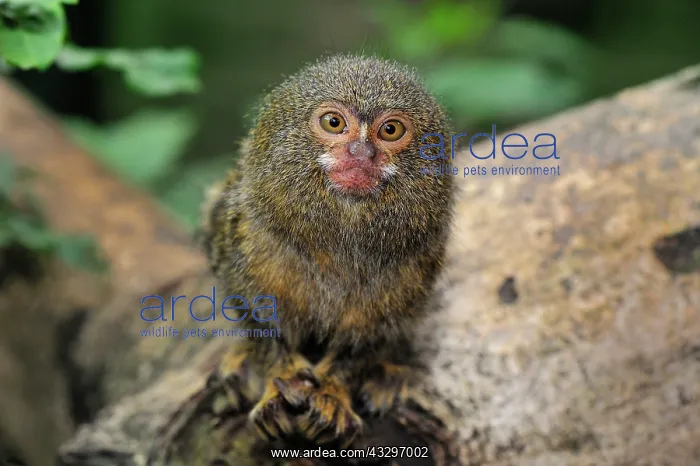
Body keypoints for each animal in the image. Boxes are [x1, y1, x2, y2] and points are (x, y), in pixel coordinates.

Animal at [198, 54, 454, 448]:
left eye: (390, 130)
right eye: (334, 123)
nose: (361, 153)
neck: (338, 238)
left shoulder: (417, 261)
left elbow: (363, 345)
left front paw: (332, 395)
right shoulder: (244, 238)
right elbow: (259, 322)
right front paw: (279, 387)